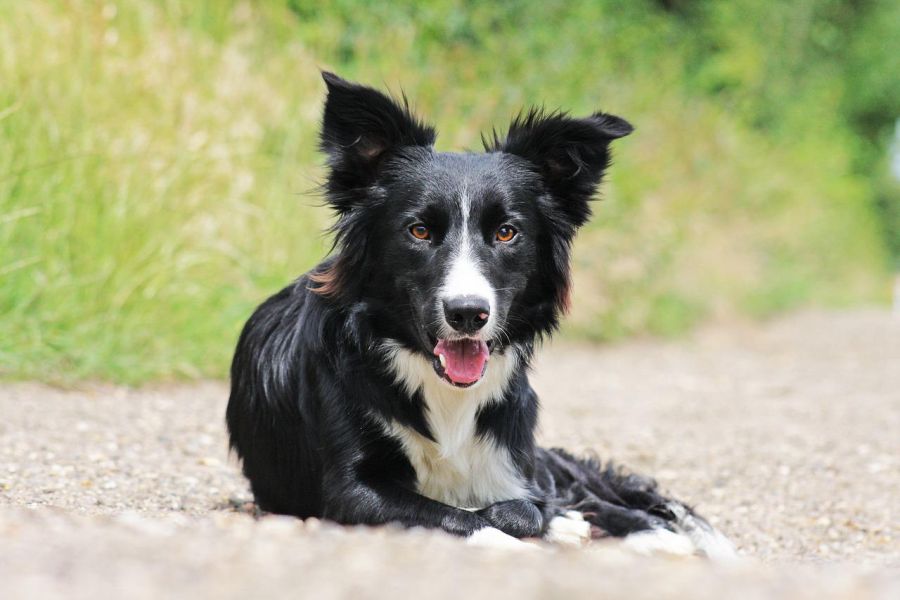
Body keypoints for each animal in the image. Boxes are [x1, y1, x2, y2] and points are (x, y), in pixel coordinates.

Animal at [223, 74, 732, 556]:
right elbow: (460, 515)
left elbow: (528, 505)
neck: (443, 391)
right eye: (419, 231)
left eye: (506, 232)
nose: (468, 314)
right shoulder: (350, 491)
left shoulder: (512, 462)